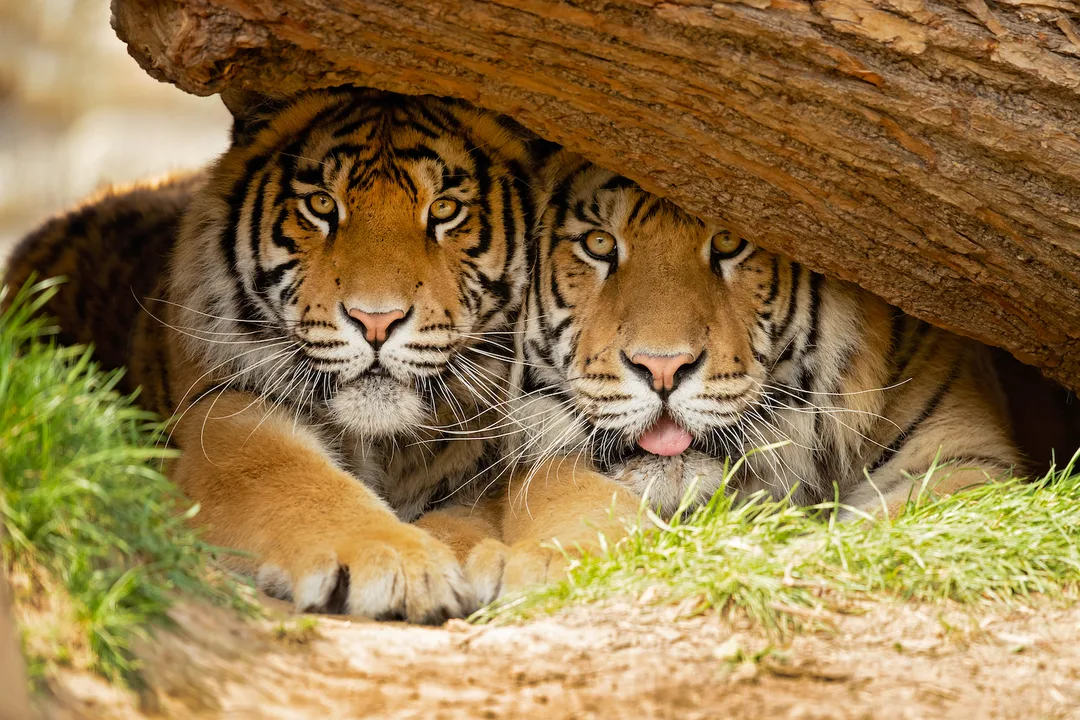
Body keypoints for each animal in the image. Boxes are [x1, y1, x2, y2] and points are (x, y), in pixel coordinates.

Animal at [3, 87, 539, 623]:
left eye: (445, 209)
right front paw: (399, 562)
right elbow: (293, 479)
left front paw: (481, 559)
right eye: (321, 204)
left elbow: (473, 513)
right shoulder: (219, 415)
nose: (376, 321)